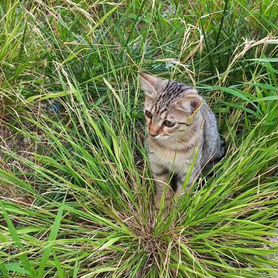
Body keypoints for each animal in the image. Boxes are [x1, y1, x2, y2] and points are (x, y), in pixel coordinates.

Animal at [140, 73, 225, 207]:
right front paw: (162, 202)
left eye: (169, 123)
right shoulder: (156, 163)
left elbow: (183, 191)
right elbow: (162, 184)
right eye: (148, 114)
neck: (169, 145)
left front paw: (176, 208)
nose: (152, 133)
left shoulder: (190, 170)